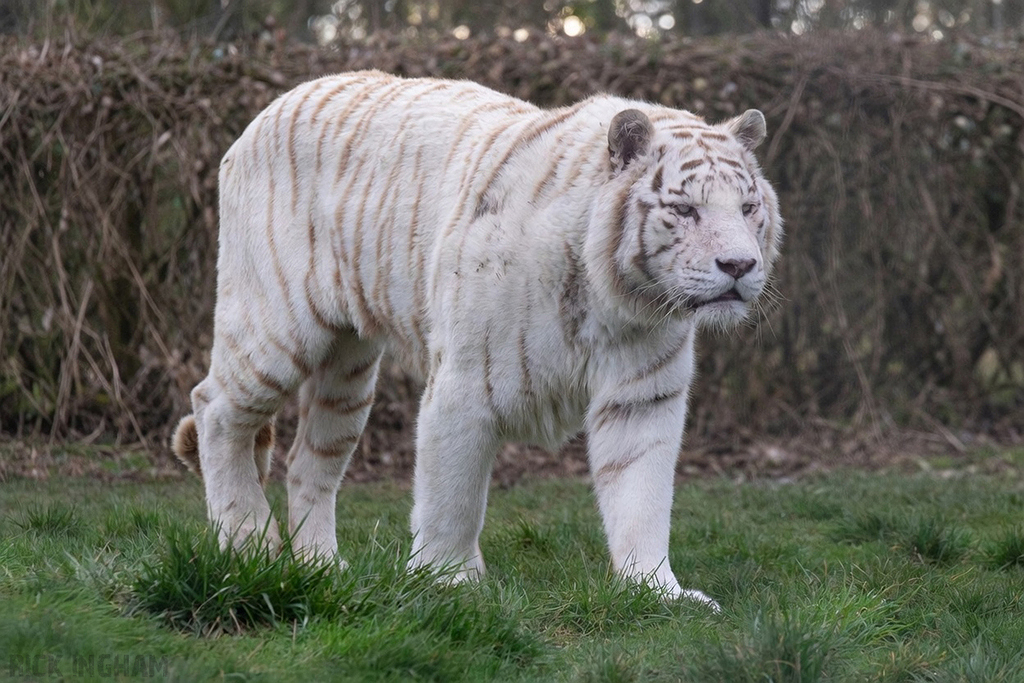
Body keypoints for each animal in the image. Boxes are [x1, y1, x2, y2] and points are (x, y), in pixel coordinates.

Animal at [171, 70, 782, 611]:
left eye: (748, 207)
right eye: (685, 209)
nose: (739, 265)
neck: (616, 297)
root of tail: (270, 109)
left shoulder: (643, 395)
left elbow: (643, 497)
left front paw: (657, 591)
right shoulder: (466, 384)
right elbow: (453, 496)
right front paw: (450, 583)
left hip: (348, 369)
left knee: (308, 458)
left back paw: (321, 567)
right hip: (275, 324)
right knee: (215, 409)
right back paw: (247, 546)